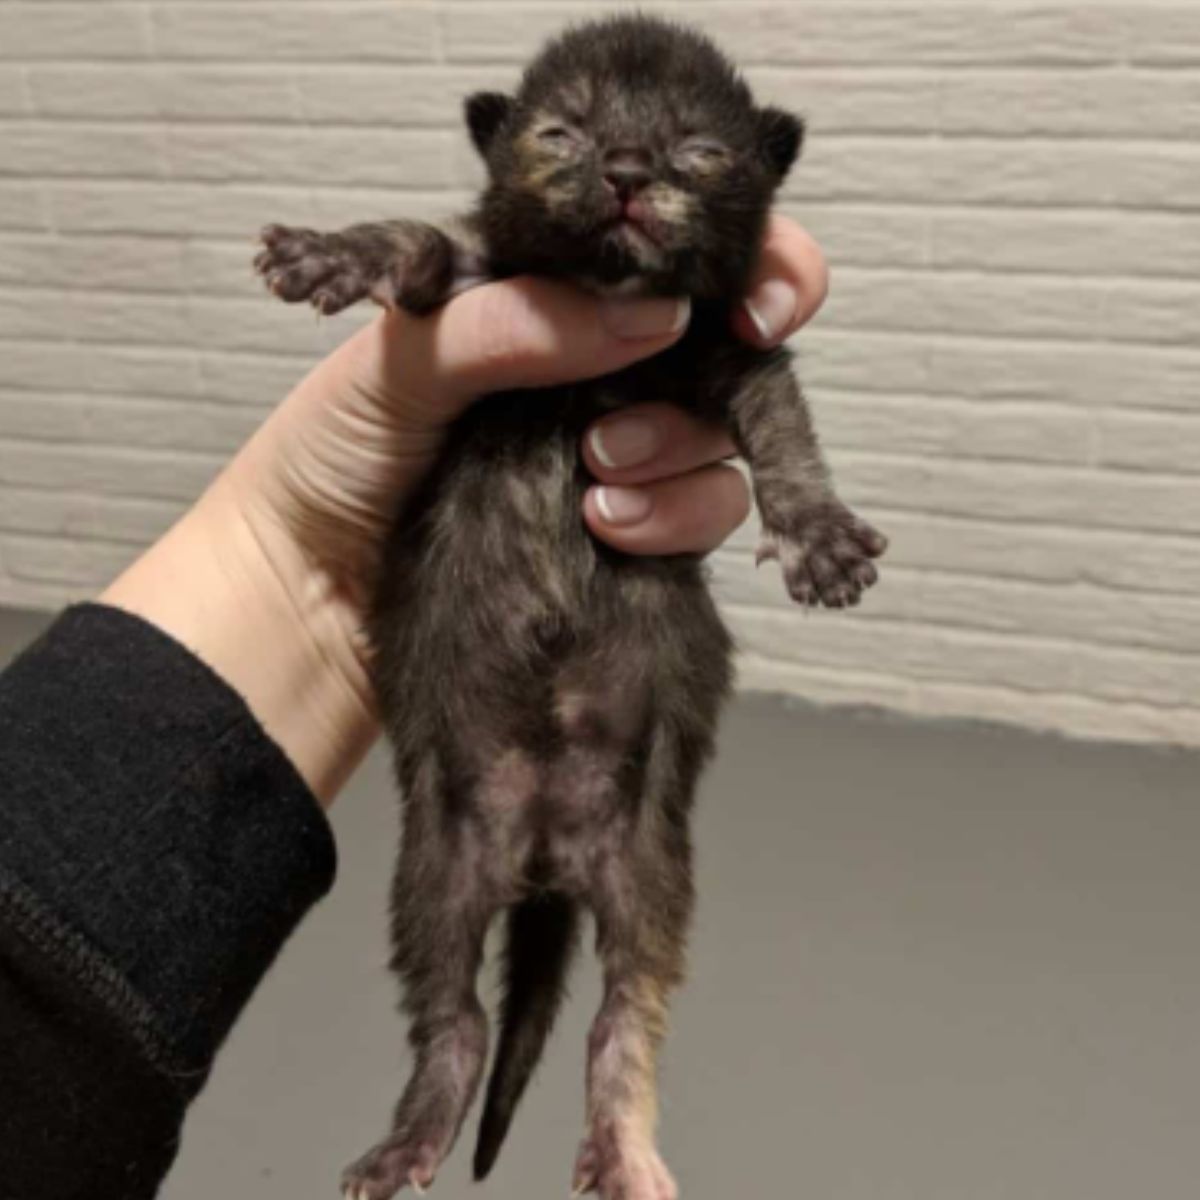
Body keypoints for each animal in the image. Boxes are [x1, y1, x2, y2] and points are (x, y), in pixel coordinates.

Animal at [255, 11, 883, 1200]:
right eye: (564, 132)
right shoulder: (475, 288)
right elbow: (426, 244)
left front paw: (818, 532)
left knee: (622, 1015)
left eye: (695, 148)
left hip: (648, 867)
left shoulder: (723, 345)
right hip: (435, 869)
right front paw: (337, 250)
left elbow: (781, 423)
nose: (629, 171)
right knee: (454, 1018)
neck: (601, 305)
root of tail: (545, 855)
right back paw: (407, 1144)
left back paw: (623, 1152)